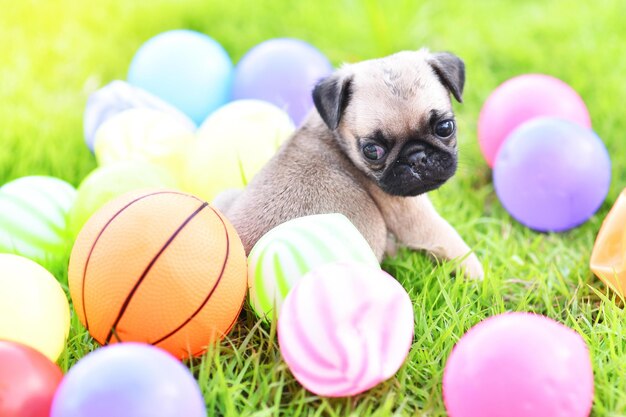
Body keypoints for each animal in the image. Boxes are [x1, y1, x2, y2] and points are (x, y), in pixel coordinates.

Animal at [217, 48, 486, 280]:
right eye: (372, 151)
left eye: (445, 128)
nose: (416, 157)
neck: (337, 139)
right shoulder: (415, 216)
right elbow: (455, 246)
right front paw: (480, 281)